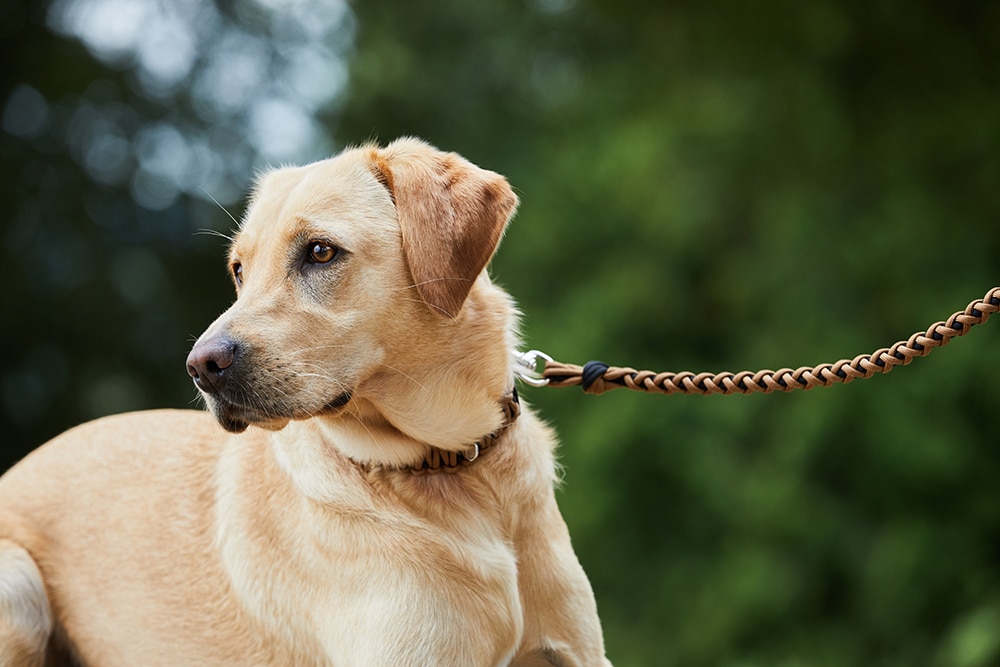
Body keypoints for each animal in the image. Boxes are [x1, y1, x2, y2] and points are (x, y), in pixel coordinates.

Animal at [0, 138, 608, 664]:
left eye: (319, 251)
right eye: (239, 270)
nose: (200, 367)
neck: (454, 466)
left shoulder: (576, 652)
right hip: (18, 584)